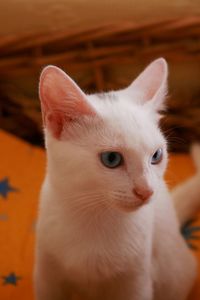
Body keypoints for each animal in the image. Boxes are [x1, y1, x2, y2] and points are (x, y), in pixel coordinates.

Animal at [34, 59, 197, 300]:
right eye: (111, 159)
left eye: (156, 156)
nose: (146, 191)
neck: (94, 218)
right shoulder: (47, 275)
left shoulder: (136, 282)